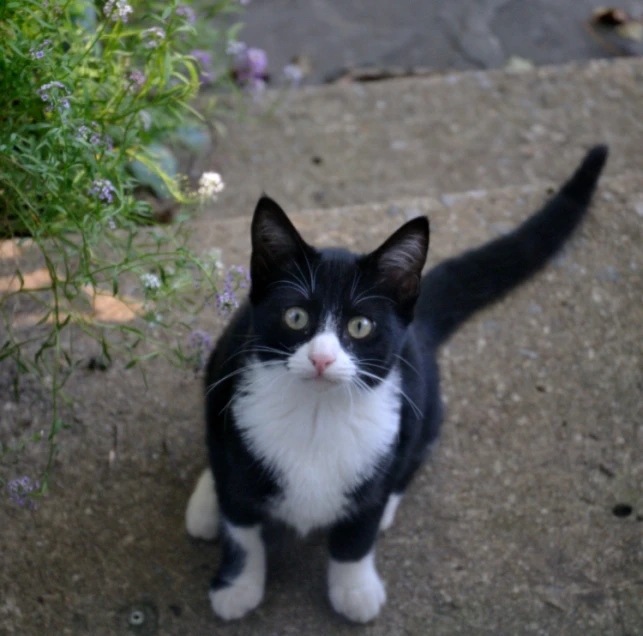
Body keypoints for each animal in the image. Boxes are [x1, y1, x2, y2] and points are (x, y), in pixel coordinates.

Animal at [185, 144, 608, 620]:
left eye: (361, 326)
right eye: (295, 316)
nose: (321, 358)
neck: (317, 414)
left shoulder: (393, 428)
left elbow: (357, 534)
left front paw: (355, 589)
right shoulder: (237, 430)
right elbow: (241, 527)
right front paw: (237, 587)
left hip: (426, 398)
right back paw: (206, 503)